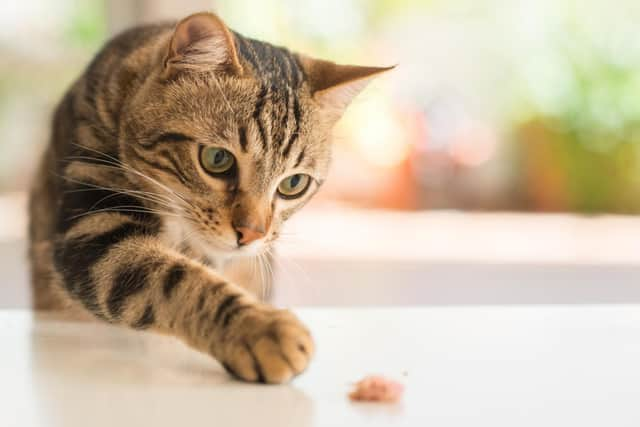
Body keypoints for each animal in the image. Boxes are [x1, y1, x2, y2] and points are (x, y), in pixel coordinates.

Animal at [28, 11, 390, 384]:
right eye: (217, 159)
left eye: (294, 183)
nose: (252, 233)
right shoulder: (95, 227)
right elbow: (176, 280)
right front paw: (260, 327)